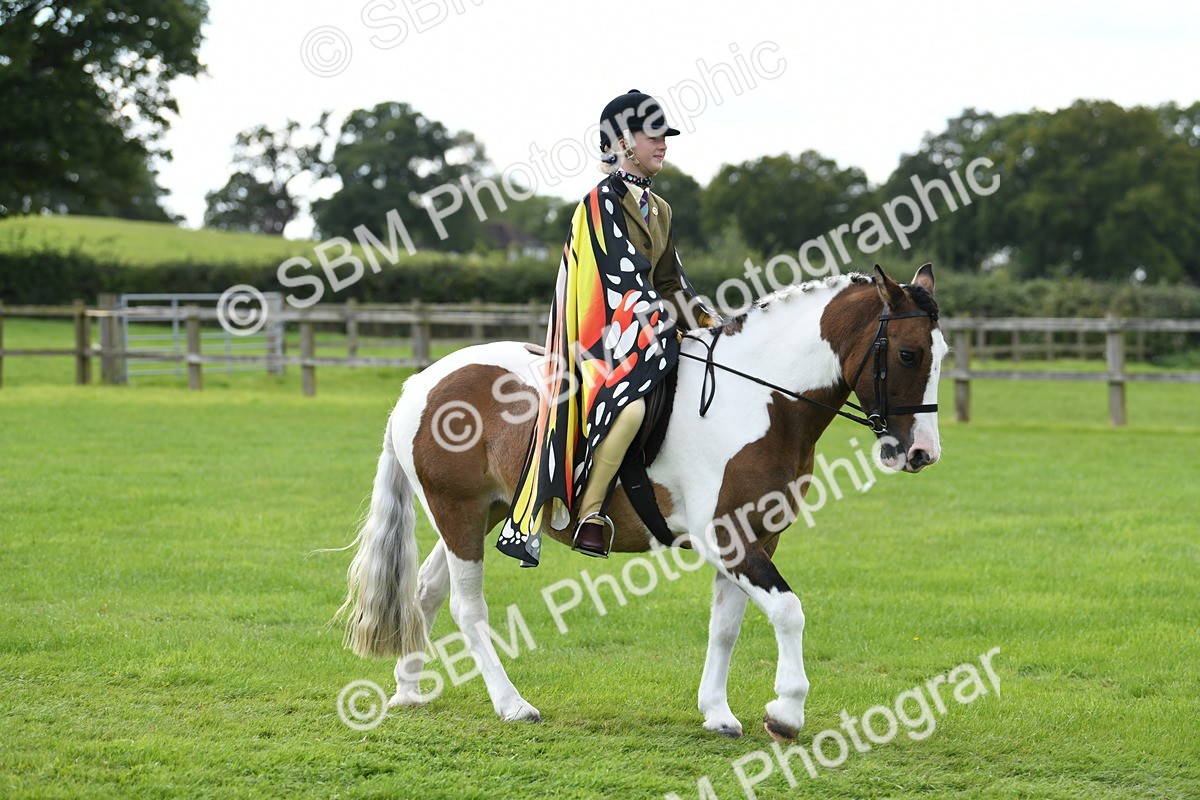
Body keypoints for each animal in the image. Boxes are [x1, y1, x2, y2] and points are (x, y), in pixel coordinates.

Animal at [337, 264, 947, 741]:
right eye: (909, 354)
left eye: (938, 353)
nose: (922, 453)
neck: (760, 402)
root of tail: (423, 382)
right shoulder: (728, 538)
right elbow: (788, 611)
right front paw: (787, 713)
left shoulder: (757, 537)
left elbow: (726, 626)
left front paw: (717, 713)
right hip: (458, 511)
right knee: (467, 607)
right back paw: (512, 705)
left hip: (480, 514)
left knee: (426, 590)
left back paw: (408, 690)